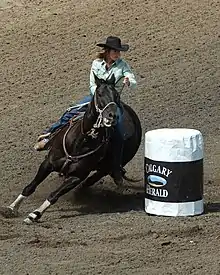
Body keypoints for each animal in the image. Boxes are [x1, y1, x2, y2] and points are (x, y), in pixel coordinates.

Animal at [1, 74, 142, 224]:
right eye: (99, 93)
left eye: (116, 95)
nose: (112, 116)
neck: (81, 141)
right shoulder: (48, 163)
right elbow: (30, 187)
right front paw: (11, 208)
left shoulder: (77, 176)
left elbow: (54, 195)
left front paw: (35, 214)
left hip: (105, 169)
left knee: (92, 180)